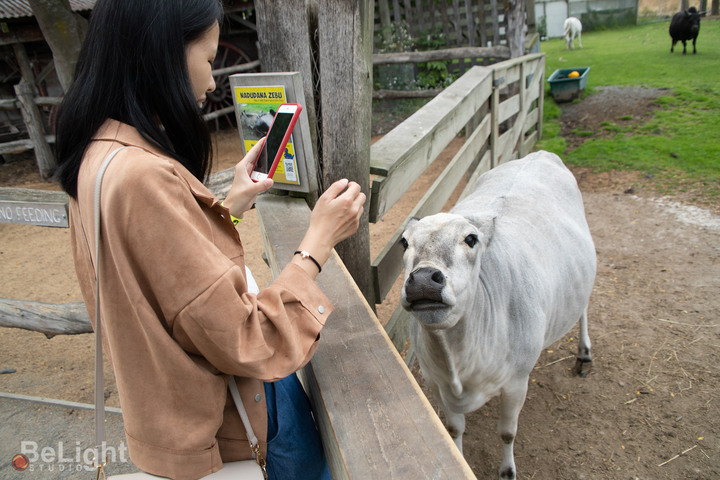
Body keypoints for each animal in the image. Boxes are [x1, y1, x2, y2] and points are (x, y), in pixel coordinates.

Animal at [400, 152, 596, 478]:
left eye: (471, 239)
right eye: (404, 242)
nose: (424, 279)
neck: (458, 364)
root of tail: (541, 153)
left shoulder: (517, 381)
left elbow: (507, 433)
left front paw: (507, 471)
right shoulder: (437, 384)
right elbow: (454, 430)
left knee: (582, 309)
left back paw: (584, 355)